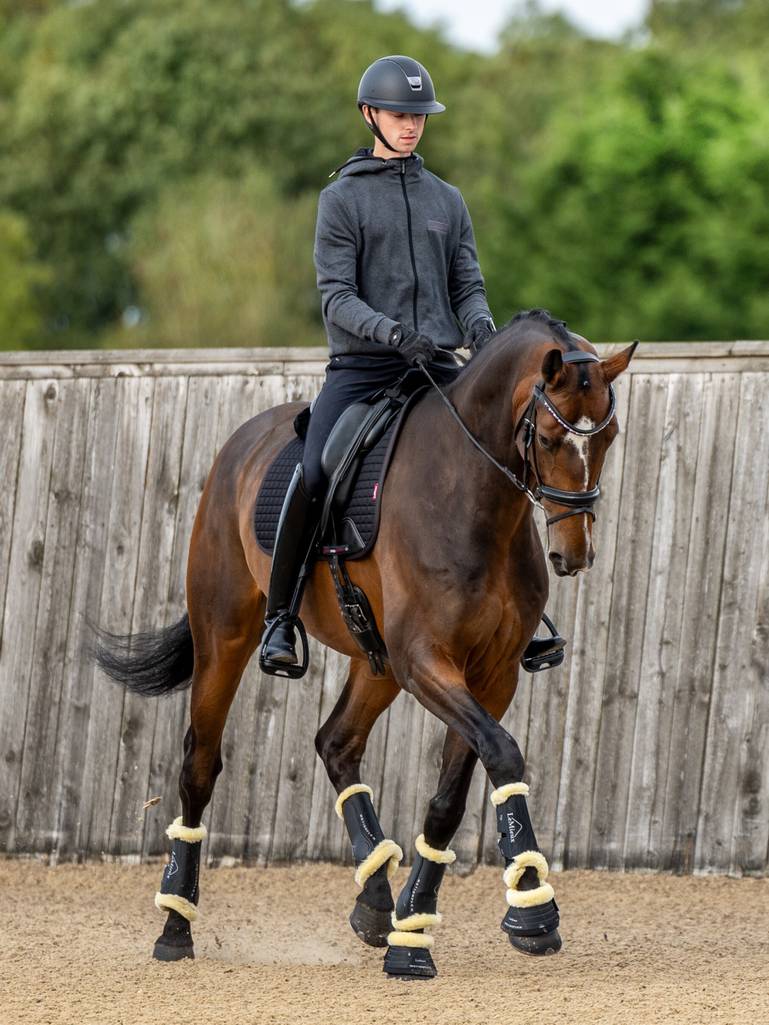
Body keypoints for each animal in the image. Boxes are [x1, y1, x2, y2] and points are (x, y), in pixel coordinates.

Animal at [97, 309, 639, 975]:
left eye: (608, 439)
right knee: (200, 763)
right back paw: (176, 924)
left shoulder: (492, 674)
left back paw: (376, 903)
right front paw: (533, 910)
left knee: (336, 743)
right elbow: (504, 753)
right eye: (545, 439)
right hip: (226, 634)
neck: (471, 496)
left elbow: (453, 793)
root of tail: (242, 443)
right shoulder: (426, 661)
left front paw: (414, 928)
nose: (574, 554)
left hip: (375, 663)